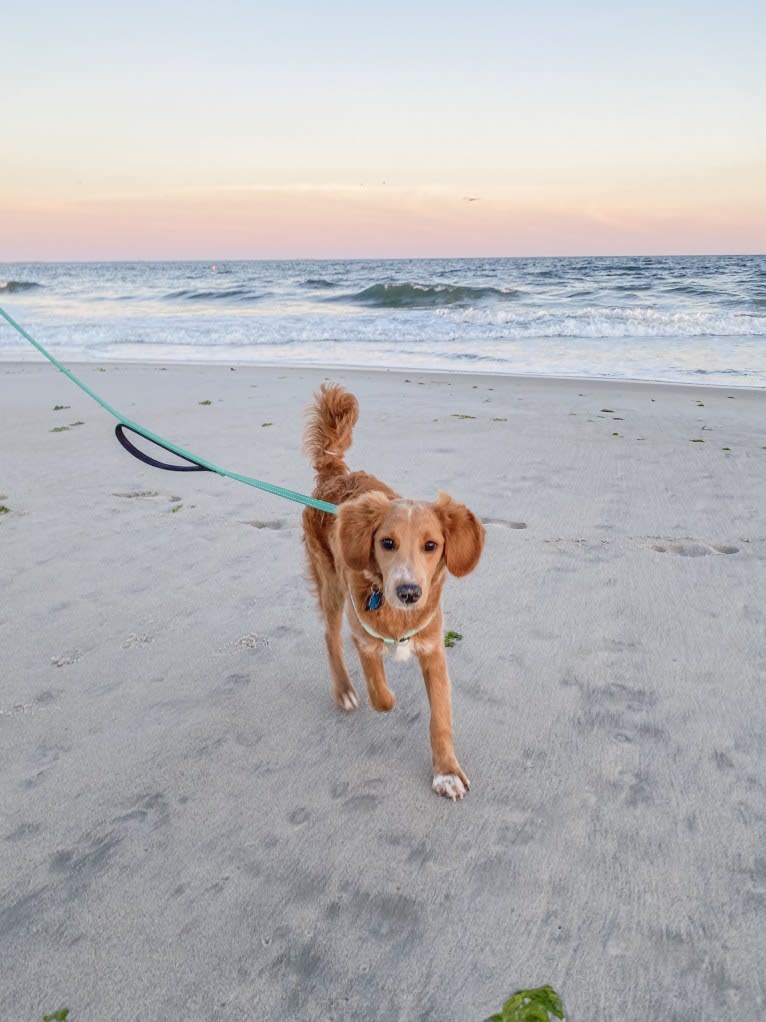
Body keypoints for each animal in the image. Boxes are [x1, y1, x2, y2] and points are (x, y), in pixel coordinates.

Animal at [302, 384, 486, 797]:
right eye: (387, 543)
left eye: (431, 546)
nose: (409, 592)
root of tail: (334, 476)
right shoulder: (364, 635)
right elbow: (380, 692)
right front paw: (384, 692)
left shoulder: (434, 650)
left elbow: (441, 718)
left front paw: (446, 771)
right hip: (331, 584)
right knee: (329, 636)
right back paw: (343, 688)